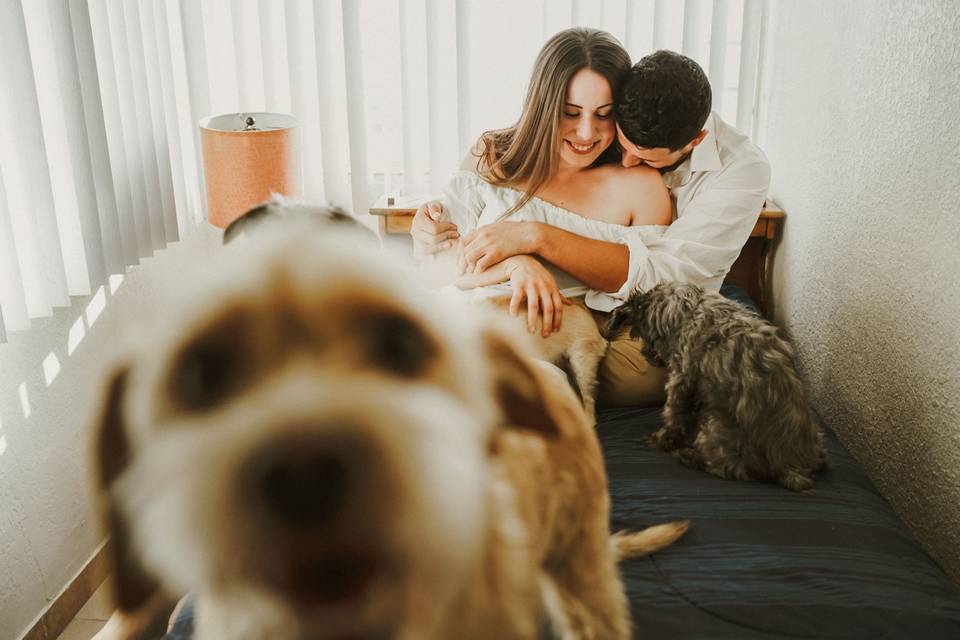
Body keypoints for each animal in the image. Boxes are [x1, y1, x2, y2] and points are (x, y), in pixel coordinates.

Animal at [608, 282, 824, 492]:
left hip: (715, 427)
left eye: (642, 335)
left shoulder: (681, 379)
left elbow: (674, 416)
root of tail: (792, 468)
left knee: (733, 468)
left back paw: (689, 456)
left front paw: (660, 440)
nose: (648, 356)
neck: (688, 308)